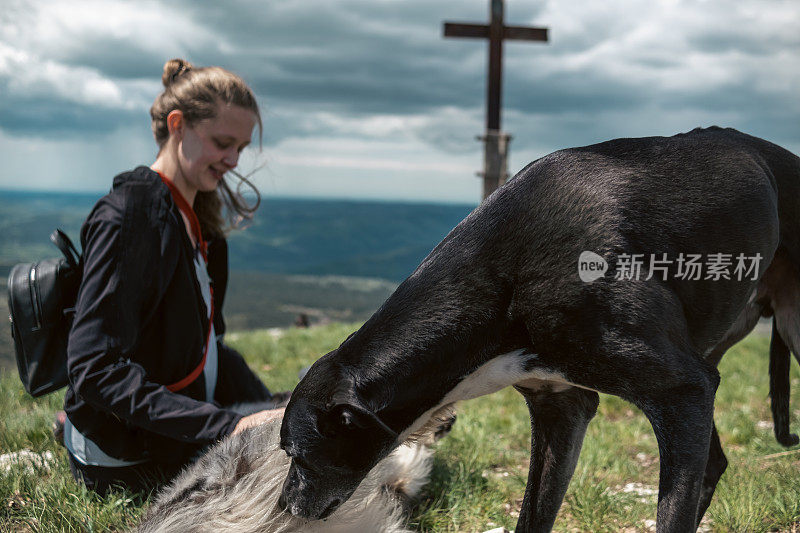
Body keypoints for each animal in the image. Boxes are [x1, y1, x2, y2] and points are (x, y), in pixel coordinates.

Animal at [278, 127, 796, 528]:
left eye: (296, 454)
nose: (283, 508)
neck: (501, 283)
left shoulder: (682, 390)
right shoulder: (560, 406)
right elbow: (532, 516)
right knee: (713, 463)